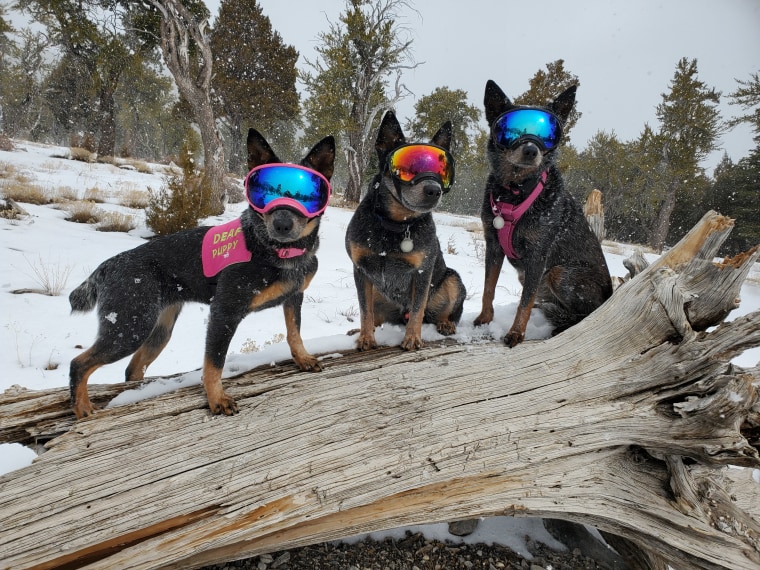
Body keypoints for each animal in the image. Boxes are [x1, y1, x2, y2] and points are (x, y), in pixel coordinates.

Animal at [67, 131, 334, 420]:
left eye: (307, 197)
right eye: (263, 192)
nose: (282, 224)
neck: (275, 251)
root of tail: (109, 265)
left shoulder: (294, 297)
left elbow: (294, 333)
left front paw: (303, 358)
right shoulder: (224, 312)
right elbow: (214, 363)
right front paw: (216, 399)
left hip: (158, 331)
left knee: (132, 369)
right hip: (130, 327)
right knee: (78, 363)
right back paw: (82, 408)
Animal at [346, 109, 466, 350]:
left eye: (442, 170)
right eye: (409, 168)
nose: (434, 190)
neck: (395, 225)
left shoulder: (422, 272)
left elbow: (417, 309)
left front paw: (412, 338)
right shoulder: (361, 270)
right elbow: (365, 310)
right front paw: (365, 337)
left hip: (453, 280)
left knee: (444, 313)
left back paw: (446, 324)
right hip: (378, 293)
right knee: (377, 316)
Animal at [472, 80, 616, 346]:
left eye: (547, 134)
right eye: (512, 130)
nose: (530, 150)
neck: (515, 192)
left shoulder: (538, 254)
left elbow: (525, 302)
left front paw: (516, 333)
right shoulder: (493, 245)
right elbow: (489, 288)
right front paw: (484, 319)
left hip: (559, 273)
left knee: (585, 314)